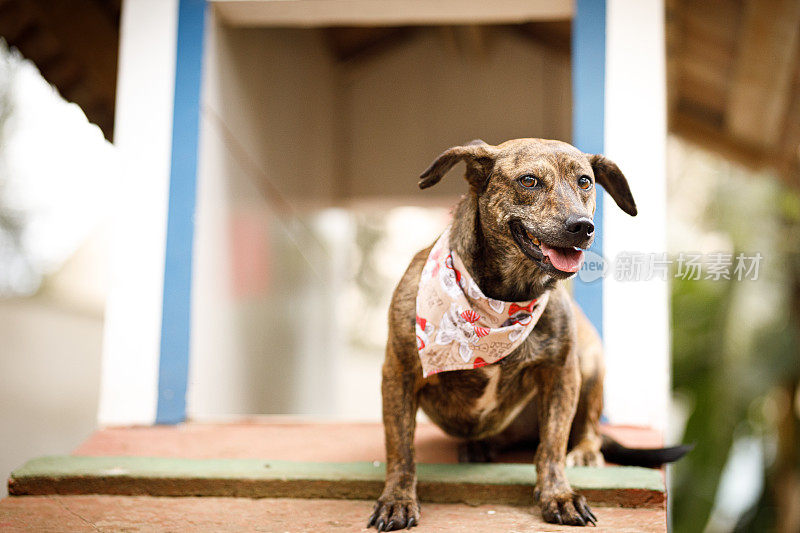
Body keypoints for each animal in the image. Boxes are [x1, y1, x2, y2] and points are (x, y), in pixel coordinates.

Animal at [368, 137, 688, 528]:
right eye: (529, 181)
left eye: (584, 181)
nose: (582, 226)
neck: (502, 300)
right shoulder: (398, 372)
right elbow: (400, 447)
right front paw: (397, 498)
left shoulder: (562, 373)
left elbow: (551, 445)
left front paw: (558, 495)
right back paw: (481, 445)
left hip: (591, 362)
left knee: (587, 429)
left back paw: (584, 451)